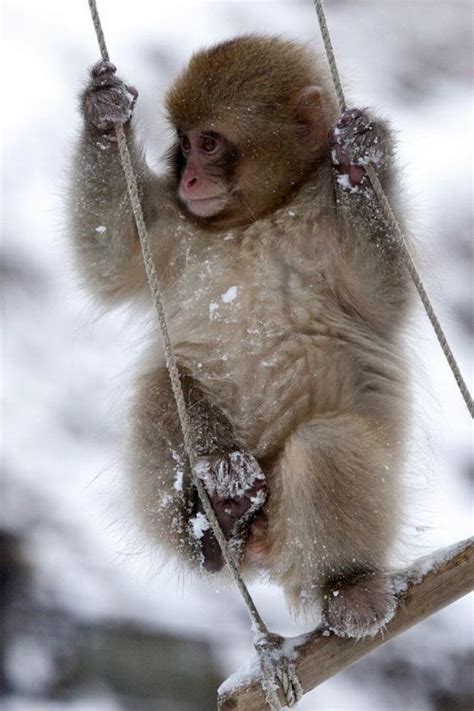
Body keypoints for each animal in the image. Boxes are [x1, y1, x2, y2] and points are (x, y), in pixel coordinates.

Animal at [70, 34, 412, 640]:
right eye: (184, 144)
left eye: (209, 143)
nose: (189, 179)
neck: (261, 215)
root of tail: (264, 549)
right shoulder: (179, 229)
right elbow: (111, 256)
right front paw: (104, 113)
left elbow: (383, 297)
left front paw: (357, 160)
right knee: (165, 385)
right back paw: (217, 520)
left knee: (326, 446)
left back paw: (347, 585)